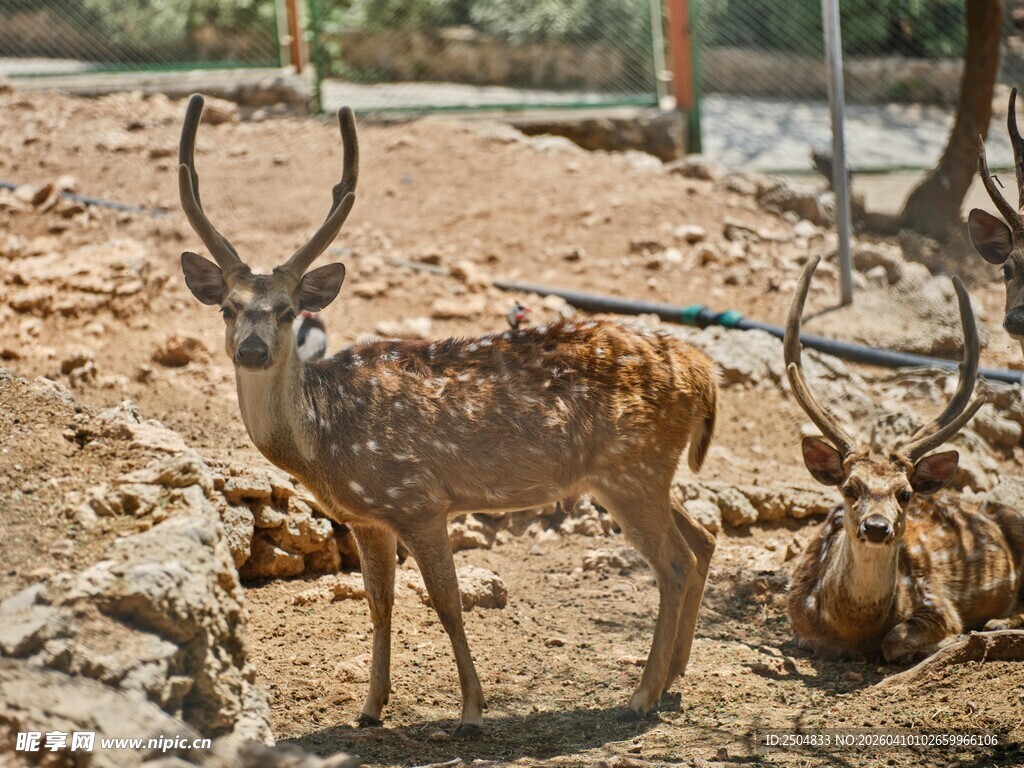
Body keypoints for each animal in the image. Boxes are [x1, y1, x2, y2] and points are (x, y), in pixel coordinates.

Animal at [174, 95, 719, 736]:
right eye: (229, 309)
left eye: (288, 311)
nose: (253, 350)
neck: (324, 441)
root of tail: (703, 372)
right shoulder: (368, 517)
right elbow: (378, 602)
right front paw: (370, 708)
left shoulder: (419, 501)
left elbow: (447, 603)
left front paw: (471, 711)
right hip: (643, 473)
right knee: (703, 539)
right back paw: (675, 676)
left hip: (631, 468)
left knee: (675, 562)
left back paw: (642, 694)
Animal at [784, 256, 1024, 662]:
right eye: (849, 489)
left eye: (906, 493)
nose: (877, 527)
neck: (853, 625)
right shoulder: (798, 620)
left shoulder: (938, 601)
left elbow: (896, 639)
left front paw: (949, 640)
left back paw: (996, 622)